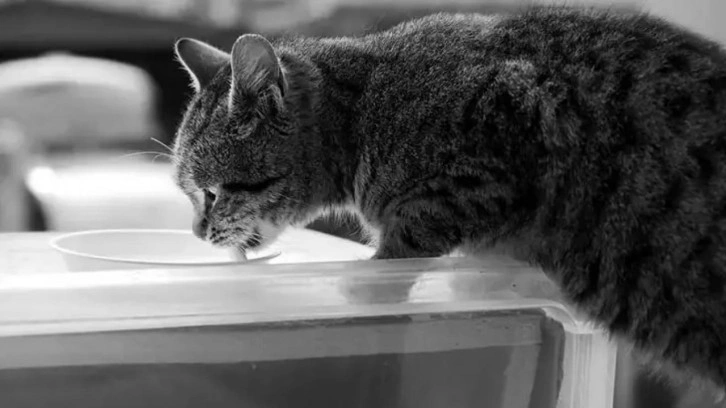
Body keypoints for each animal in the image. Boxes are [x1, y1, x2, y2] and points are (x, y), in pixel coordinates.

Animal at [173, 3, 726, 392]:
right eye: (190, 194)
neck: (366, 109)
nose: (196, 232)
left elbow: (404, 243)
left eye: (212, 193)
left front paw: (365, 290)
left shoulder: (489, 160)